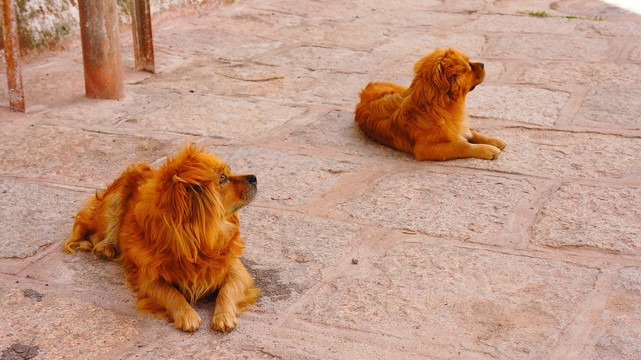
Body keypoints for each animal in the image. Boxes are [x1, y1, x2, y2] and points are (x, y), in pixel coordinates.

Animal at [63, 143, 258, 332]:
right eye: (223, 178)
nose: (254, 177)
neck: (199, 242)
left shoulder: (236, 269)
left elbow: (227, 290)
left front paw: (223, 316)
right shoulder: (149, 280)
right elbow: (172, 293)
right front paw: (187, 315)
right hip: (113, 204)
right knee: (94, 231)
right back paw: (106, 247)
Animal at [356, 47, 504, 160]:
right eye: (469, 67)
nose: (483, 64)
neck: (438, 105)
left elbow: (472, 133)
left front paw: (493, 141)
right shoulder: (427, 148)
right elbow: (463, 145)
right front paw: (488, 150)